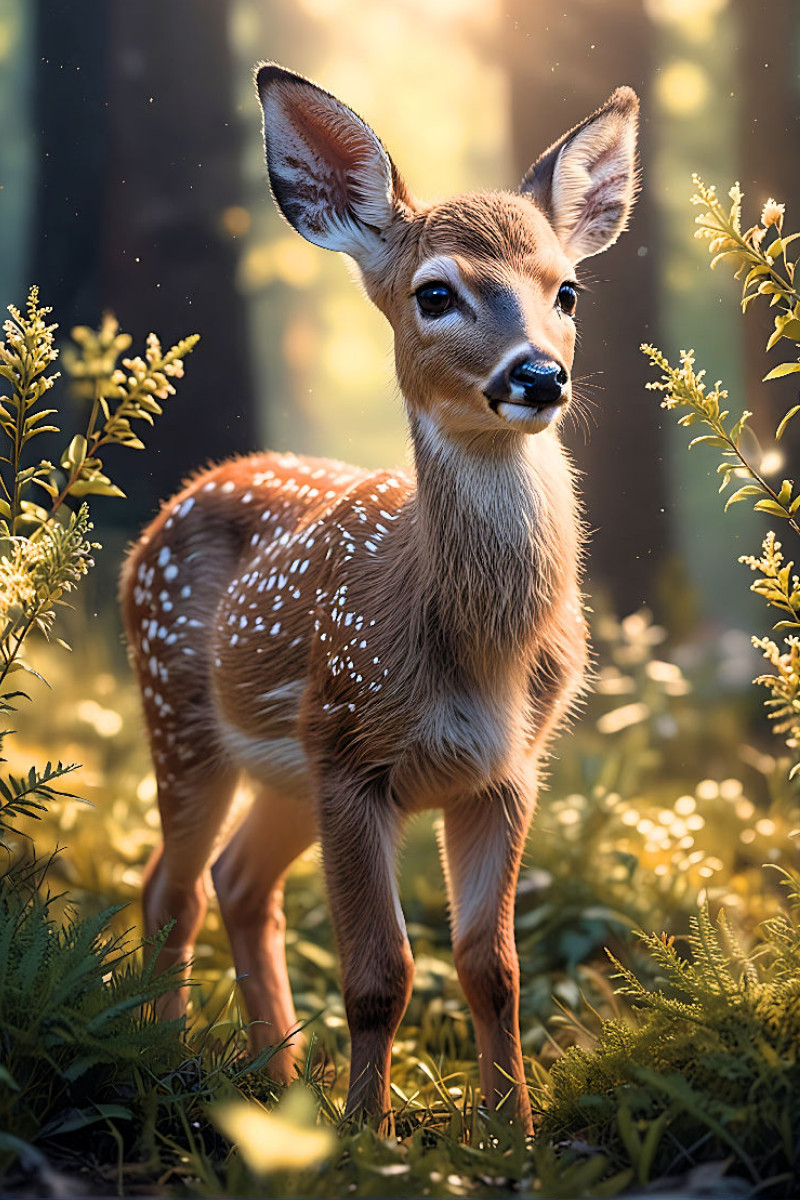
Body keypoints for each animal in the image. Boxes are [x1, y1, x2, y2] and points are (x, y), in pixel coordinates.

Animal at [122, 65, 638, 1132]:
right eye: (435, 293)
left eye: (566, 290)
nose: (540, 374)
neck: (475, 654)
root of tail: (180, 498)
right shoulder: (353, 751)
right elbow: (379, 976)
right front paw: (373, 1137)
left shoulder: (508, 770)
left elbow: (492, 969)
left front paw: (512, 1134)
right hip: (184, 717)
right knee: (170, 888)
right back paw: (176, 1061)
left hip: (285, 772)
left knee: (239, 884)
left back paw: (281, 1082)